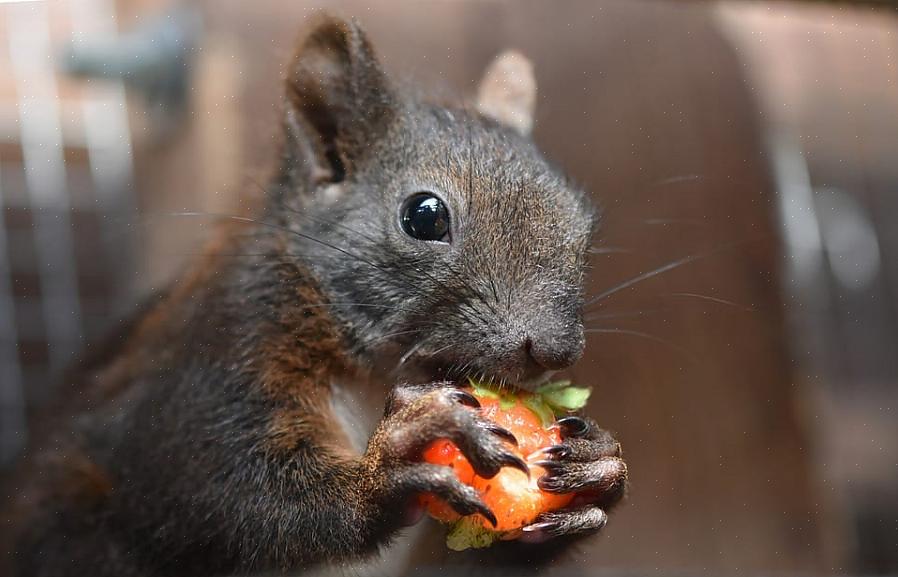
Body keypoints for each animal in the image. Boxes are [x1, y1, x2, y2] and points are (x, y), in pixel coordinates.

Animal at [1, 13, 624, 576]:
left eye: (583, 220)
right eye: (424, 216)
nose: (554, 349)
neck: (381, 375)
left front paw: (599, 467)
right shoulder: (222, 354)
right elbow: (227, 491)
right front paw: (386, 468)